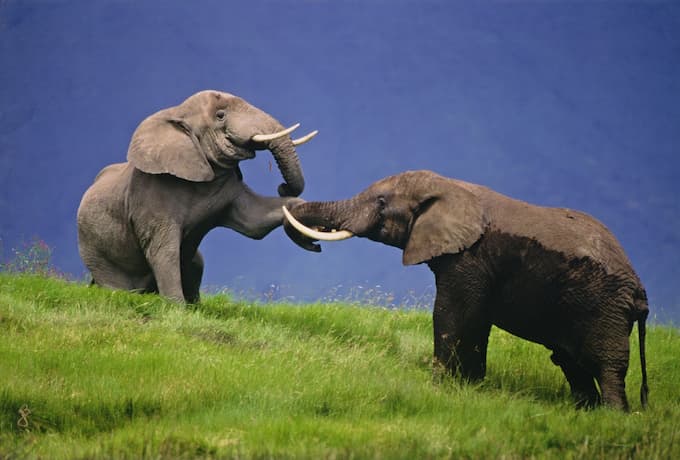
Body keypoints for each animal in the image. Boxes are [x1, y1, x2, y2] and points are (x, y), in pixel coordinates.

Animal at [76, 91, 316, 304]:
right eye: (220, 115)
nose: (283, 187)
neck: (177, 112)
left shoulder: (230, 187)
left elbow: (254, 222)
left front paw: (302, 222)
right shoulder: (151, 195)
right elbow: (165, 251)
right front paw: (176, 308)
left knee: (197, 262)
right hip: (95, 250)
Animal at [284, 169, 652, 410]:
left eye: (381, 201)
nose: (316, 243)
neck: (450, 187)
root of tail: (640, 292)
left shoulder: (470, 257)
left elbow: (452, 314)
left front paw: (438, 388)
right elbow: (476, 322)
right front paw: (472, 388)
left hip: (605, 307)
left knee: (606, 364)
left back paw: (613, 416)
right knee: (570, 362)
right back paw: (583, 412)